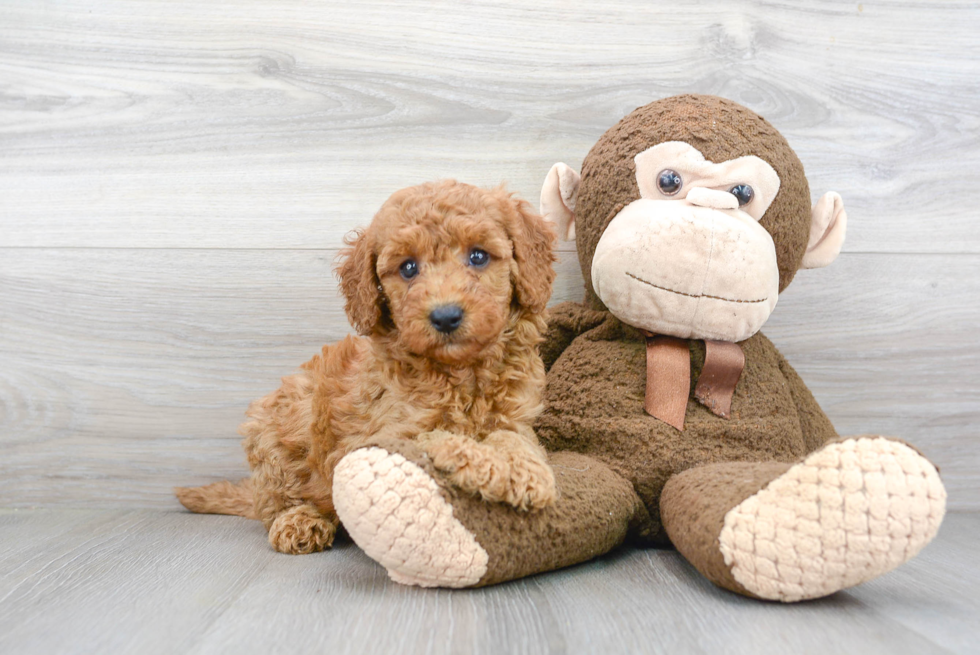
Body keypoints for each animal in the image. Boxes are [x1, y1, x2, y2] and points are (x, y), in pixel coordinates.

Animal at [176, 182, 560, 556]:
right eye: (408, 268)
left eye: (478, 256)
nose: (445, 316)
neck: (462, 372)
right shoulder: (384, 434)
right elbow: (438, 435)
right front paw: (485, 463)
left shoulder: (516, 416)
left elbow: (514, 438)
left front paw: (526, 470)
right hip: (280, 424)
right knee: (277, 503)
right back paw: (299, 521)